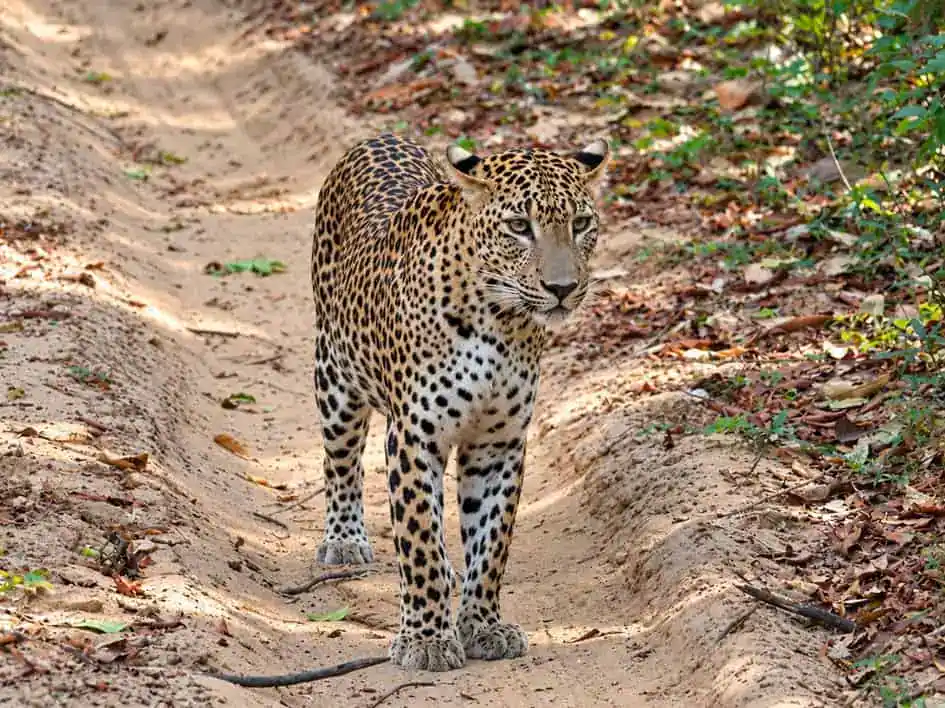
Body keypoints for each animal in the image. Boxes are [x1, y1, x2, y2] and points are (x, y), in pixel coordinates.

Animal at [309, 132, 609, 673]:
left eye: (580, 224)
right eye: (519, 227)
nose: (562, 288)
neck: (500, 324)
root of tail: (381, 136)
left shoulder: (498, 443)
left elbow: (491, 543)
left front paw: (483, 625)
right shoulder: (414, 438)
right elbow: (420, 538)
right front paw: (426, 639)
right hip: (335, 378)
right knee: (340, 464)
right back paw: (344, 541)